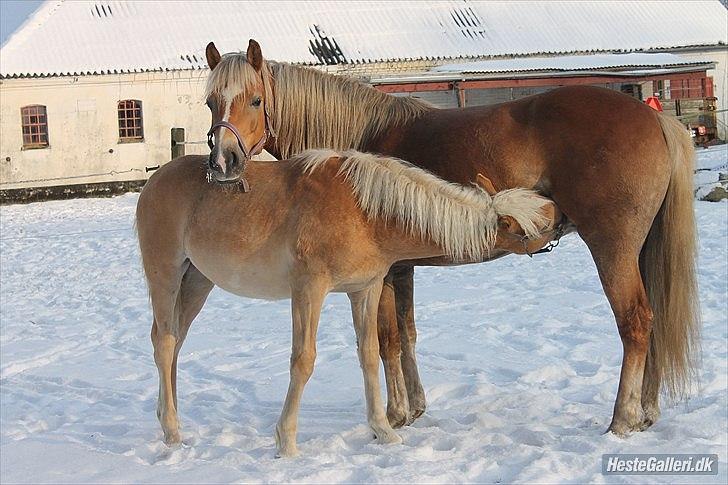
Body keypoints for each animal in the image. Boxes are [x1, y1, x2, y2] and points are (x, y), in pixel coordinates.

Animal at [135, 147, 556, 454]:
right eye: (525, 225)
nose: (558, 220)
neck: (366, 213)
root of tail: (154, 180)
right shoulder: (309, 290)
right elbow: (303, 361)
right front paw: (286, 441)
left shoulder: (365, 289)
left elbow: (370, 354)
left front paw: (384, 430)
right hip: (165, 276)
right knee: (164, 343)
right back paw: (172, 432)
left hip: (197, 282)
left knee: (176, 343)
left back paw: (168, 415)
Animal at [203, 39, 700, 436]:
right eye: (210, 101)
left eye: (254, 100)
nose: (224, 162)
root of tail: (655, 119)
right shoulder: (402, 269)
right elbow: (406, 335)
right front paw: (416, 406)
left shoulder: (382, 275)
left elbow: (386, 338)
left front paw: (396, 414)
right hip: (641, 250)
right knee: (654, 318)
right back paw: (647, 411)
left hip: (612, 248)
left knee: (635, 322)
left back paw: (623, 418)